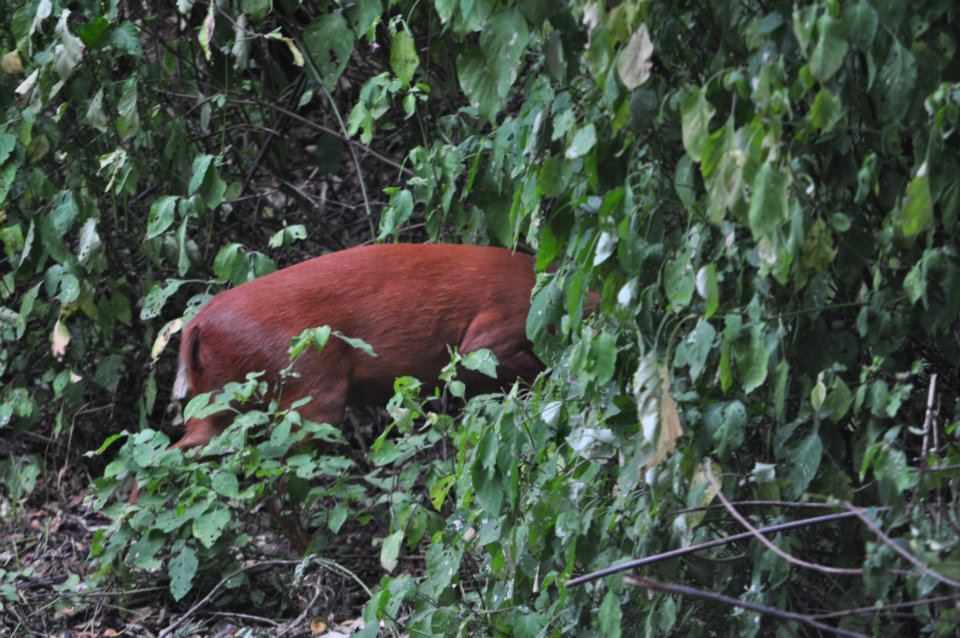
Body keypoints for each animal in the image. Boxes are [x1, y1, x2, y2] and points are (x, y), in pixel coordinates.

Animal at [131, 242, 544, 502]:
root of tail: (196, 324)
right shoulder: (488, 337)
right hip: (310, 390)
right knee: (282, 474)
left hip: (216, 401)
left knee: (167, 457)